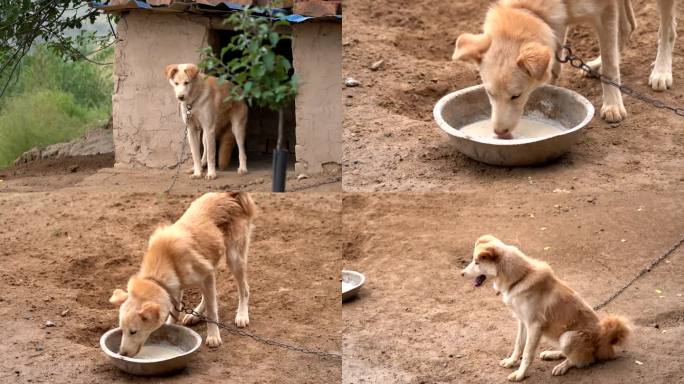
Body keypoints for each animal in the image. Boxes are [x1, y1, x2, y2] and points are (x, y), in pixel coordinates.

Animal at [109, 192, 254, 356]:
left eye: (133, 332)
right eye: (122, 330)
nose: (122, 354)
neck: (165, 259)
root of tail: (229, 194)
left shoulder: (205, 276)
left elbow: (212, 311)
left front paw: (213, 336)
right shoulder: (176, 286)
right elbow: (176, 311)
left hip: (234, 259)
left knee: (244, 290)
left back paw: (242, 315)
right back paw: (195, 314)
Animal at [454, 0, 636, 138]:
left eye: (516, 96)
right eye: (490, 94)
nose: (499, 132)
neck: (530, 9)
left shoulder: (605, 10)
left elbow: (610, 63)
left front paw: (613, 104)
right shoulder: (558, 23)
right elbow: (554, 63)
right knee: (629, 26)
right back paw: (594, 65)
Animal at [460, 236, 632, 380]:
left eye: (477, 262)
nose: (461, 273)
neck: (520, 278)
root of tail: (606, 342)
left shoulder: (534, 326)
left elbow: (527, 354)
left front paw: (520, 375)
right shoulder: (522, 322)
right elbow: (518, 345)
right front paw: (511, 362)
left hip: (568, 337)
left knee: (582, 359)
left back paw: (562, 366)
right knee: (571, 354)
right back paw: (553, 354)